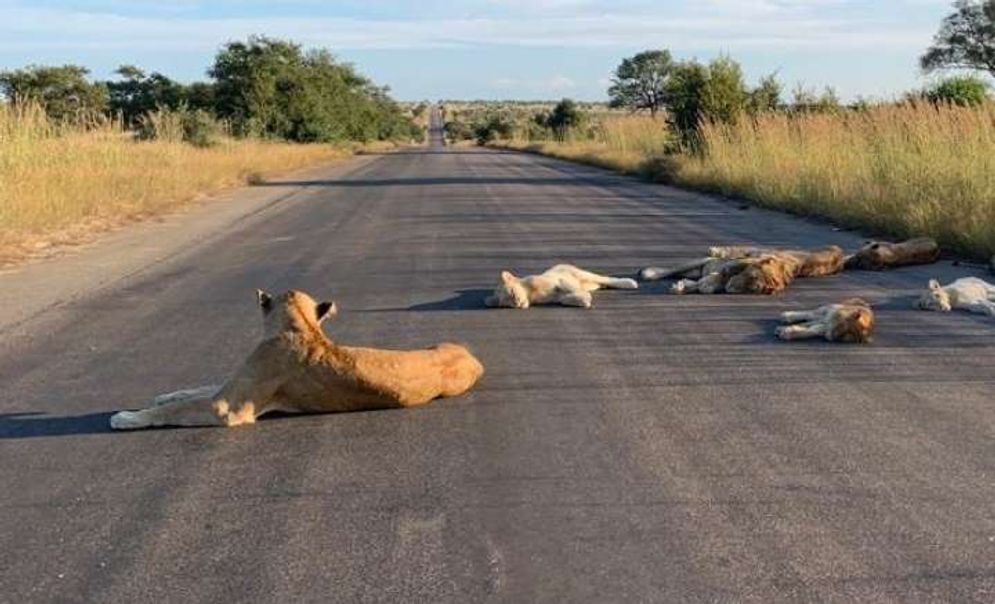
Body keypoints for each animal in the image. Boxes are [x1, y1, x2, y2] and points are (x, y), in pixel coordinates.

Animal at [111, 290, 484, 428]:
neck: (302, 327)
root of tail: (472, 356)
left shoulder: (229, 408)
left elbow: (176, 408)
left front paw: (126, 417)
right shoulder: (231, 388)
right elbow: (194, 390)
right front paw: (163, 394)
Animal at [640, 243, 844, 294]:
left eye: (752, 289)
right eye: (751, 277)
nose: (731, 289)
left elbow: (703, 284)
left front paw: (685, 286)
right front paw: (649, 273)